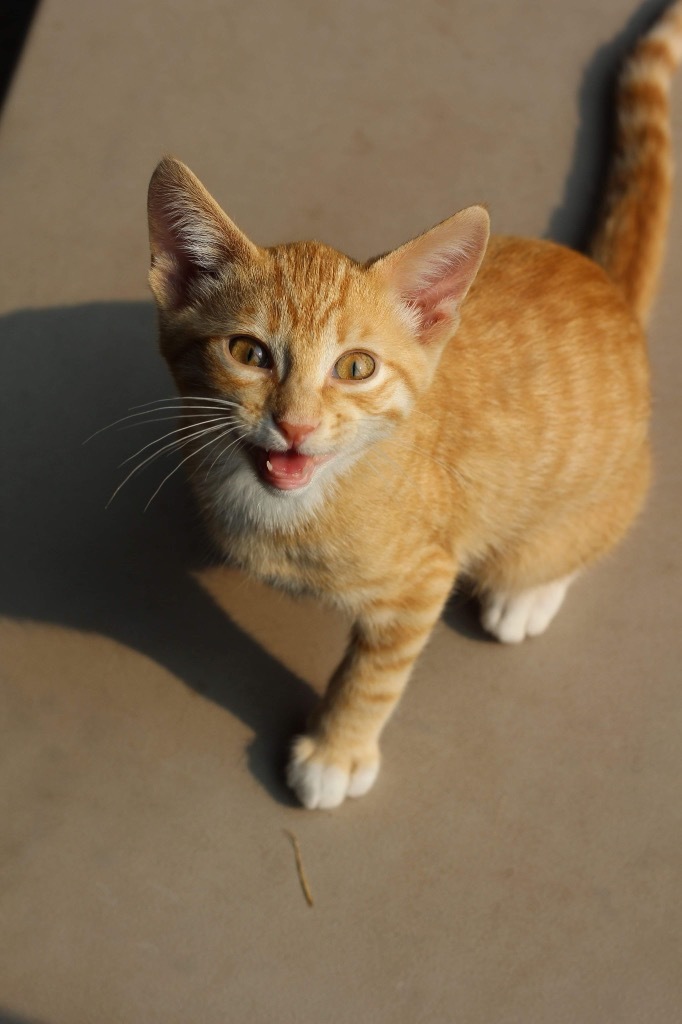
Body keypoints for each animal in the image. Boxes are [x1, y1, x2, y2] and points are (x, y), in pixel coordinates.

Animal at [146, 6, 675, 806]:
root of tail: (607, 288)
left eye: (356, 368)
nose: (295, 424)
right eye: (248, 353)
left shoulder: (422, 579)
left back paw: (529, 592)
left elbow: (373, 676)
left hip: (591, 499)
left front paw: (336, 751)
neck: (289, 511)